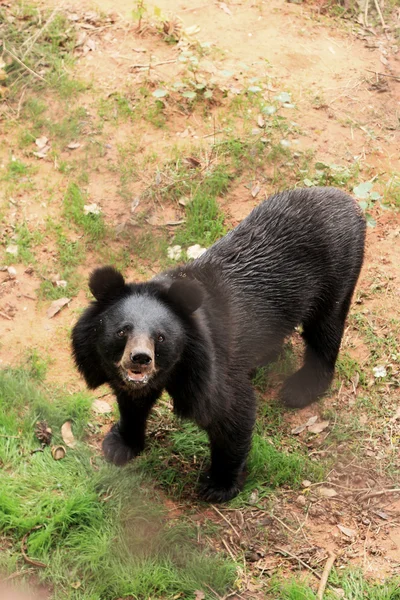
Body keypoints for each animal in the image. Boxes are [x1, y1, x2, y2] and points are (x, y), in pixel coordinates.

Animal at [72, 188, 366, 502]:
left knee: (325, 329)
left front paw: (218, 485)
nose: (140, 358)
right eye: (122, 331)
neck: (176, 367)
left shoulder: (210, 368)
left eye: (160, 337)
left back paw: (300, 388)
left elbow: (231, 412)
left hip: (337, 274)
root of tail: (345, 199)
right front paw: (119, 445)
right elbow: (131, 403)